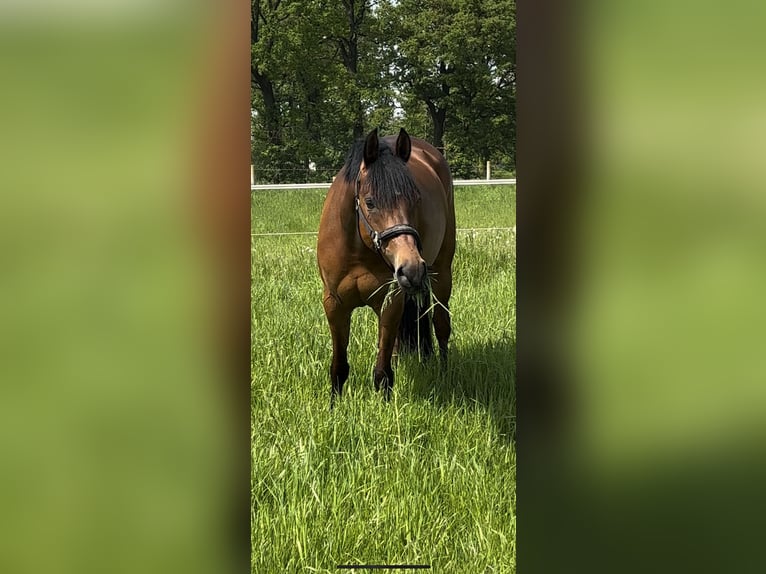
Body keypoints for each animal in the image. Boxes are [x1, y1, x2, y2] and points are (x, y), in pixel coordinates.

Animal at [318, 129, 456, 410]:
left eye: (415, 199)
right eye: (370, 202)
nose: (411, 268)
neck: (358, 248)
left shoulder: (390, 300)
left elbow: (382, 372)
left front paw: (384, 410)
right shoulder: (334, 304)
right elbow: (338, 366)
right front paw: (334, 408)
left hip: (441, 272)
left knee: (441, 324)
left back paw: (444, 373)